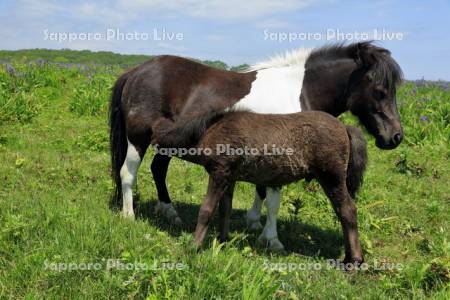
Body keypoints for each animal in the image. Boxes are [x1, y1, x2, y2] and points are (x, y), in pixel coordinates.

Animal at [110, 40, 404, 251]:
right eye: (380, 91)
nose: (395, 137)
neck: (300, 90)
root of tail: (135, 71)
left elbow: (262, 191)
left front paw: (253, 221)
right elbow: (273, 200)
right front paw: (271, 238)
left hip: (168, 143)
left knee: (158, 169)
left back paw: (169, 211)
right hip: (138, 138)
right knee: (128, 173)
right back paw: (128, 215)